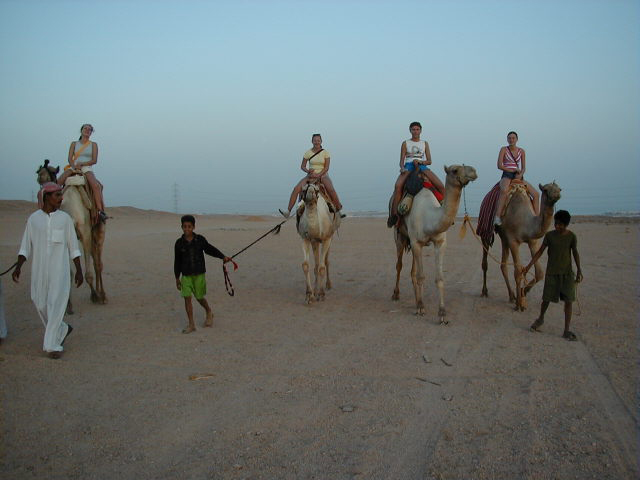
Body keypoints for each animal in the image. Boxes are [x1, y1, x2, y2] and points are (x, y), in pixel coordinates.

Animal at [392, 165, 478, 322]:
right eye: (454, 170)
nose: (473, 171)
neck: (429, 217)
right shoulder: (416, 243)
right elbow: (421, 276)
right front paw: (421, 308)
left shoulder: (439, 243)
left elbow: (439, 278)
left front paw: (442, 313)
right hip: (399, 236)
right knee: (399, 264)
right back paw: (396, 294)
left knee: (412, 271)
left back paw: (416, 299)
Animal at [480, 181, 560, 312]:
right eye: (546, 190)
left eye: (559, 189)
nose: (556, 195)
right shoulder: (513, 241)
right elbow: (517, 272)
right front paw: (519, 304)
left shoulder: (532, 241)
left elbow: (539, 272)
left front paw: (523, 292)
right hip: (485, 233)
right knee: (485, 262)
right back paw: (485, 291)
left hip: (504, 238)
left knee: (503, 265)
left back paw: (511, 295)